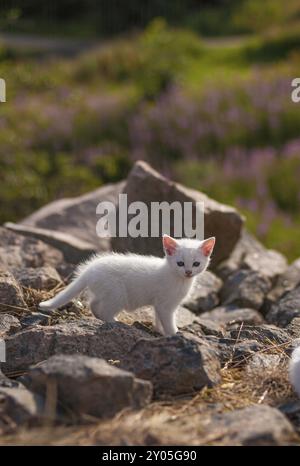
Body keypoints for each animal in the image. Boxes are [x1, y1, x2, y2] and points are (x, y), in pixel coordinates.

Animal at [39, 237, 216, 334]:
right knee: (105, 311)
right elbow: (168, 321)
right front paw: (174, 334)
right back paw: (115, 322)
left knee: (94, 303)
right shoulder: (166, 305)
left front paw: (160, 331)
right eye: (180, 263)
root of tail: (89, 270)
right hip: (118, 294)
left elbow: (159, 319)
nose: (188, 272)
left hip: (106, 292)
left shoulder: (160, 304)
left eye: (196, 264)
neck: (179, 280)